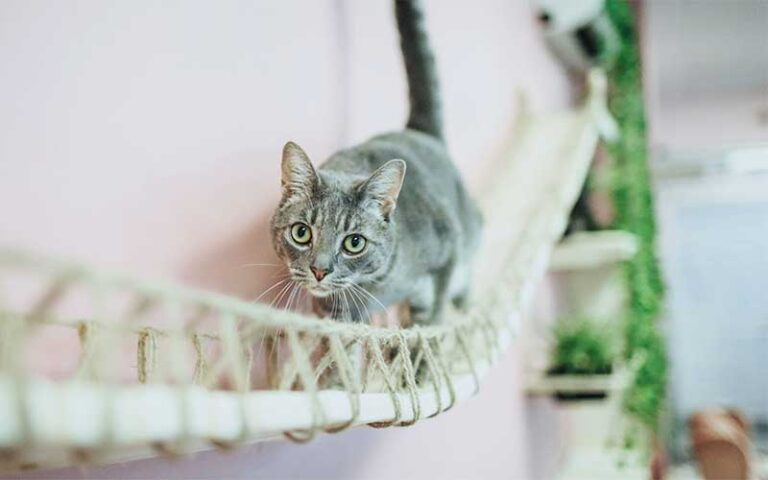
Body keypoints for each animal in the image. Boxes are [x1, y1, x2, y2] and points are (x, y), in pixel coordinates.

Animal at [272, 0, 480, 326]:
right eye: (301, 232)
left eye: (354, 242)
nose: (319, 270)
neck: (375, 286)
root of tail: (416, 131)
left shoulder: (447, 248)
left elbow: (434, 309)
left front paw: (425, 330)